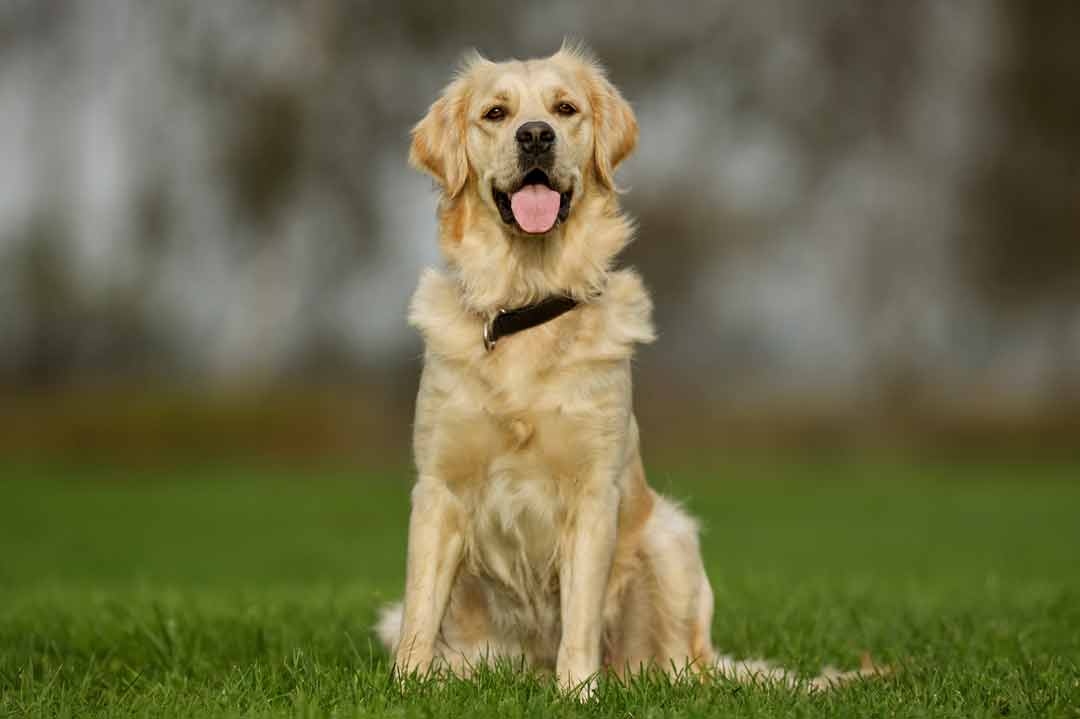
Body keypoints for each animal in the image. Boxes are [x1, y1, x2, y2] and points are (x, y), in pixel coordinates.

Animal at [375, 42, 881, 690]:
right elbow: (420, 612)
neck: (529, 301)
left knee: (680, 666)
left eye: (565, 109)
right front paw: (407, 689)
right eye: (495, 113)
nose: (534, 136)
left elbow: (580, 618)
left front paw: (577, 694)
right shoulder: (438, 490)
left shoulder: (594, 492)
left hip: (670, 538)